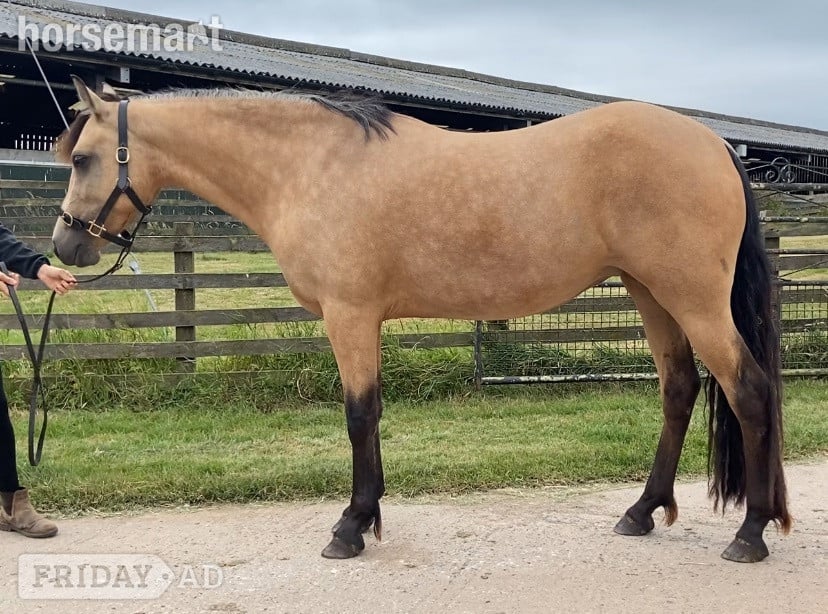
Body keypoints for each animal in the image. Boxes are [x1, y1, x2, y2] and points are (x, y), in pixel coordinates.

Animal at [51, 77, 790, 563]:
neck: (311, 165)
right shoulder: (364, 320)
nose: (64, 248)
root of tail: (718, 145)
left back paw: (750, 532)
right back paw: (641, 513)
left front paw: (351, 527)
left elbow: (359, 414)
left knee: (750, 391)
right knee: (680, 390)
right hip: (651, 293)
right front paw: (369, 515)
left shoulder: (349, 316)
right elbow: (371, 415)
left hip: (692, 299)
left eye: (83, 159)